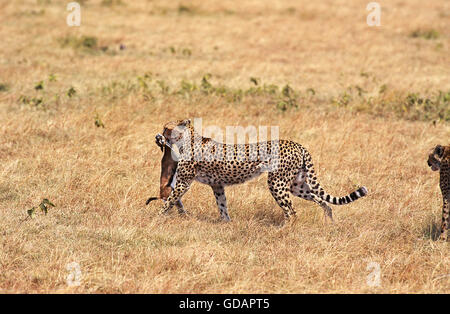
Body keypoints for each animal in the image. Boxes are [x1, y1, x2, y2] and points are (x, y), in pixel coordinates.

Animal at [149, 119, 368, 222]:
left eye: (167, 127)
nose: (158, 135)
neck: (187, 139)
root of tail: (297, 144)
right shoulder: (217, 185)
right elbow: (222, 205)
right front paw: (226, 223)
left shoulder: (183, 183)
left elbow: (169, 201)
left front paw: (156, 218)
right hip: (297, 184)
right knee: (322, 201)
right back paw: (329, 223)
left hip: (277, 182)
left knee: (291, 211)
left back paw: (284, 231)